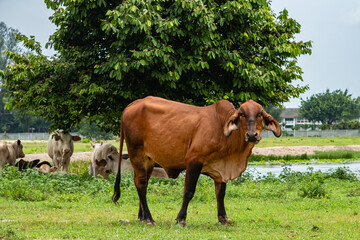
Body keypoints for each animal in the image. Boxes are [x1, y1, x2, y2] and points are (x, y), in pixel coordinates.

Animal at [112, 95, 282, 225]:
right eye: (242, 114)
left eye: (260, 114)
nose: (252, 135)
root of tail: (132, 105)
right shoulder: (194, 161)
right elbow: (188, 191)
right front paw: (181, 219)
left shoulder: (221, 168)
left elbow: (220, 193)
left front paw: (223, 218)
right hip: (137, 154)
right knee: (141, 184)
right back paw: (149, 219)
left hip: (149, 160)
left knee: (143, 183)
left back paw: (142, 217)